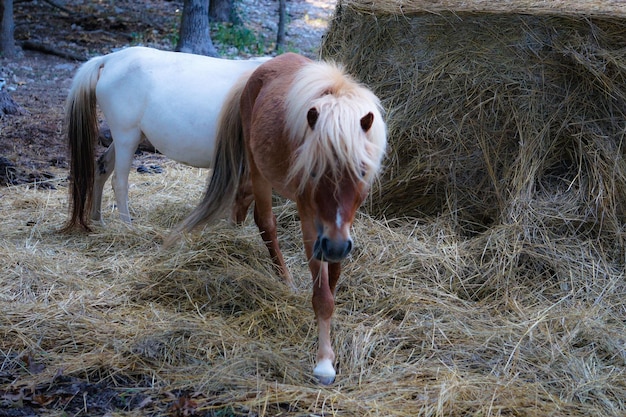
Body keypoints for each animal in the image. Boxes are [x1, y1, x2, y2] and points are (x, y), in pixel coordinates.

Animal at [62, 47, 266, 232]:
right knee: (119, 182)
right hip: (126, 137)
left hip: (129, 137)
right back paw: (128, 228)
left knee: (101, 168)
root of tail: (109, 60)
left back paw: (97, 219)